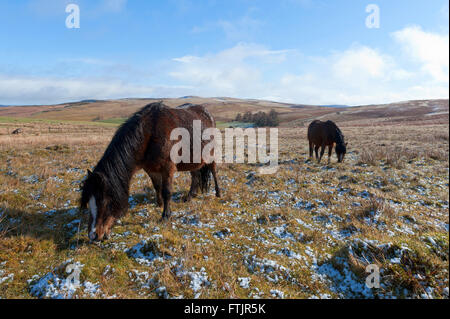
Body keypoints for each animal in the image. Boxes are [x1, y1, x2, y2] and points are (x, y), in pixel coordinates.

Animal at [82, 102, 221, 242]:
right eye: (89, 201)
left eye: (104, 202)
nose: (93, 235)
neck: (148, 134)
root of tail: (208, 114)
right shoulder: (150, 168)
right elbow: (157, 186)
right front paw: (159, 204)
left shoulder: (168, 168)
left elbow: (167, 191)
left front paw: (165, 216)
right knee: (195, 175)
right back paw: (190, 196)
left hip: (211, 154)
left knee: (214, 172)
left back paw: (218, 193)